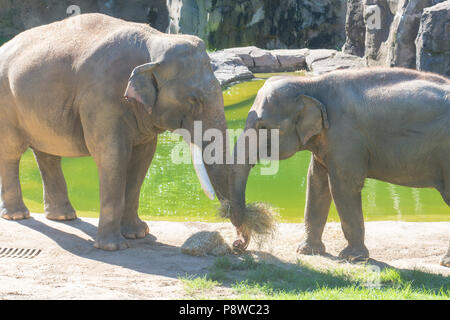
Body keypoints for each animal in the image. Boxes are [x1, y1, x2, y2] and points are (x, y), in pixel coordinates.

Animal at [0, 13, 230, 250]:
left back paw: (63, 217)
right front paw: (114, 247)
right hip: (7, 104)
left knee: (48, 154)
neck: (155, 42)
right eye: (194, 99)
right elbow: (114, 156)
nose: (224, 213)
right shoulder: (101, 97)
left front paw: (138, 234)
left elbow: (143, 158)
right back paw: (18, 215)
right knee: (11, 152)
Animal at [230, 68, 450, 268]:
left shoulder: (346, 137)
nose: (237, 245)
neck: (310, 84)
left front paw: (352, 257)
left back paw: (445, 262)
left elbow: (342, 186)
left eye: (263, 127)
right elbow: (315, 182)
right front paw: (306, 251)